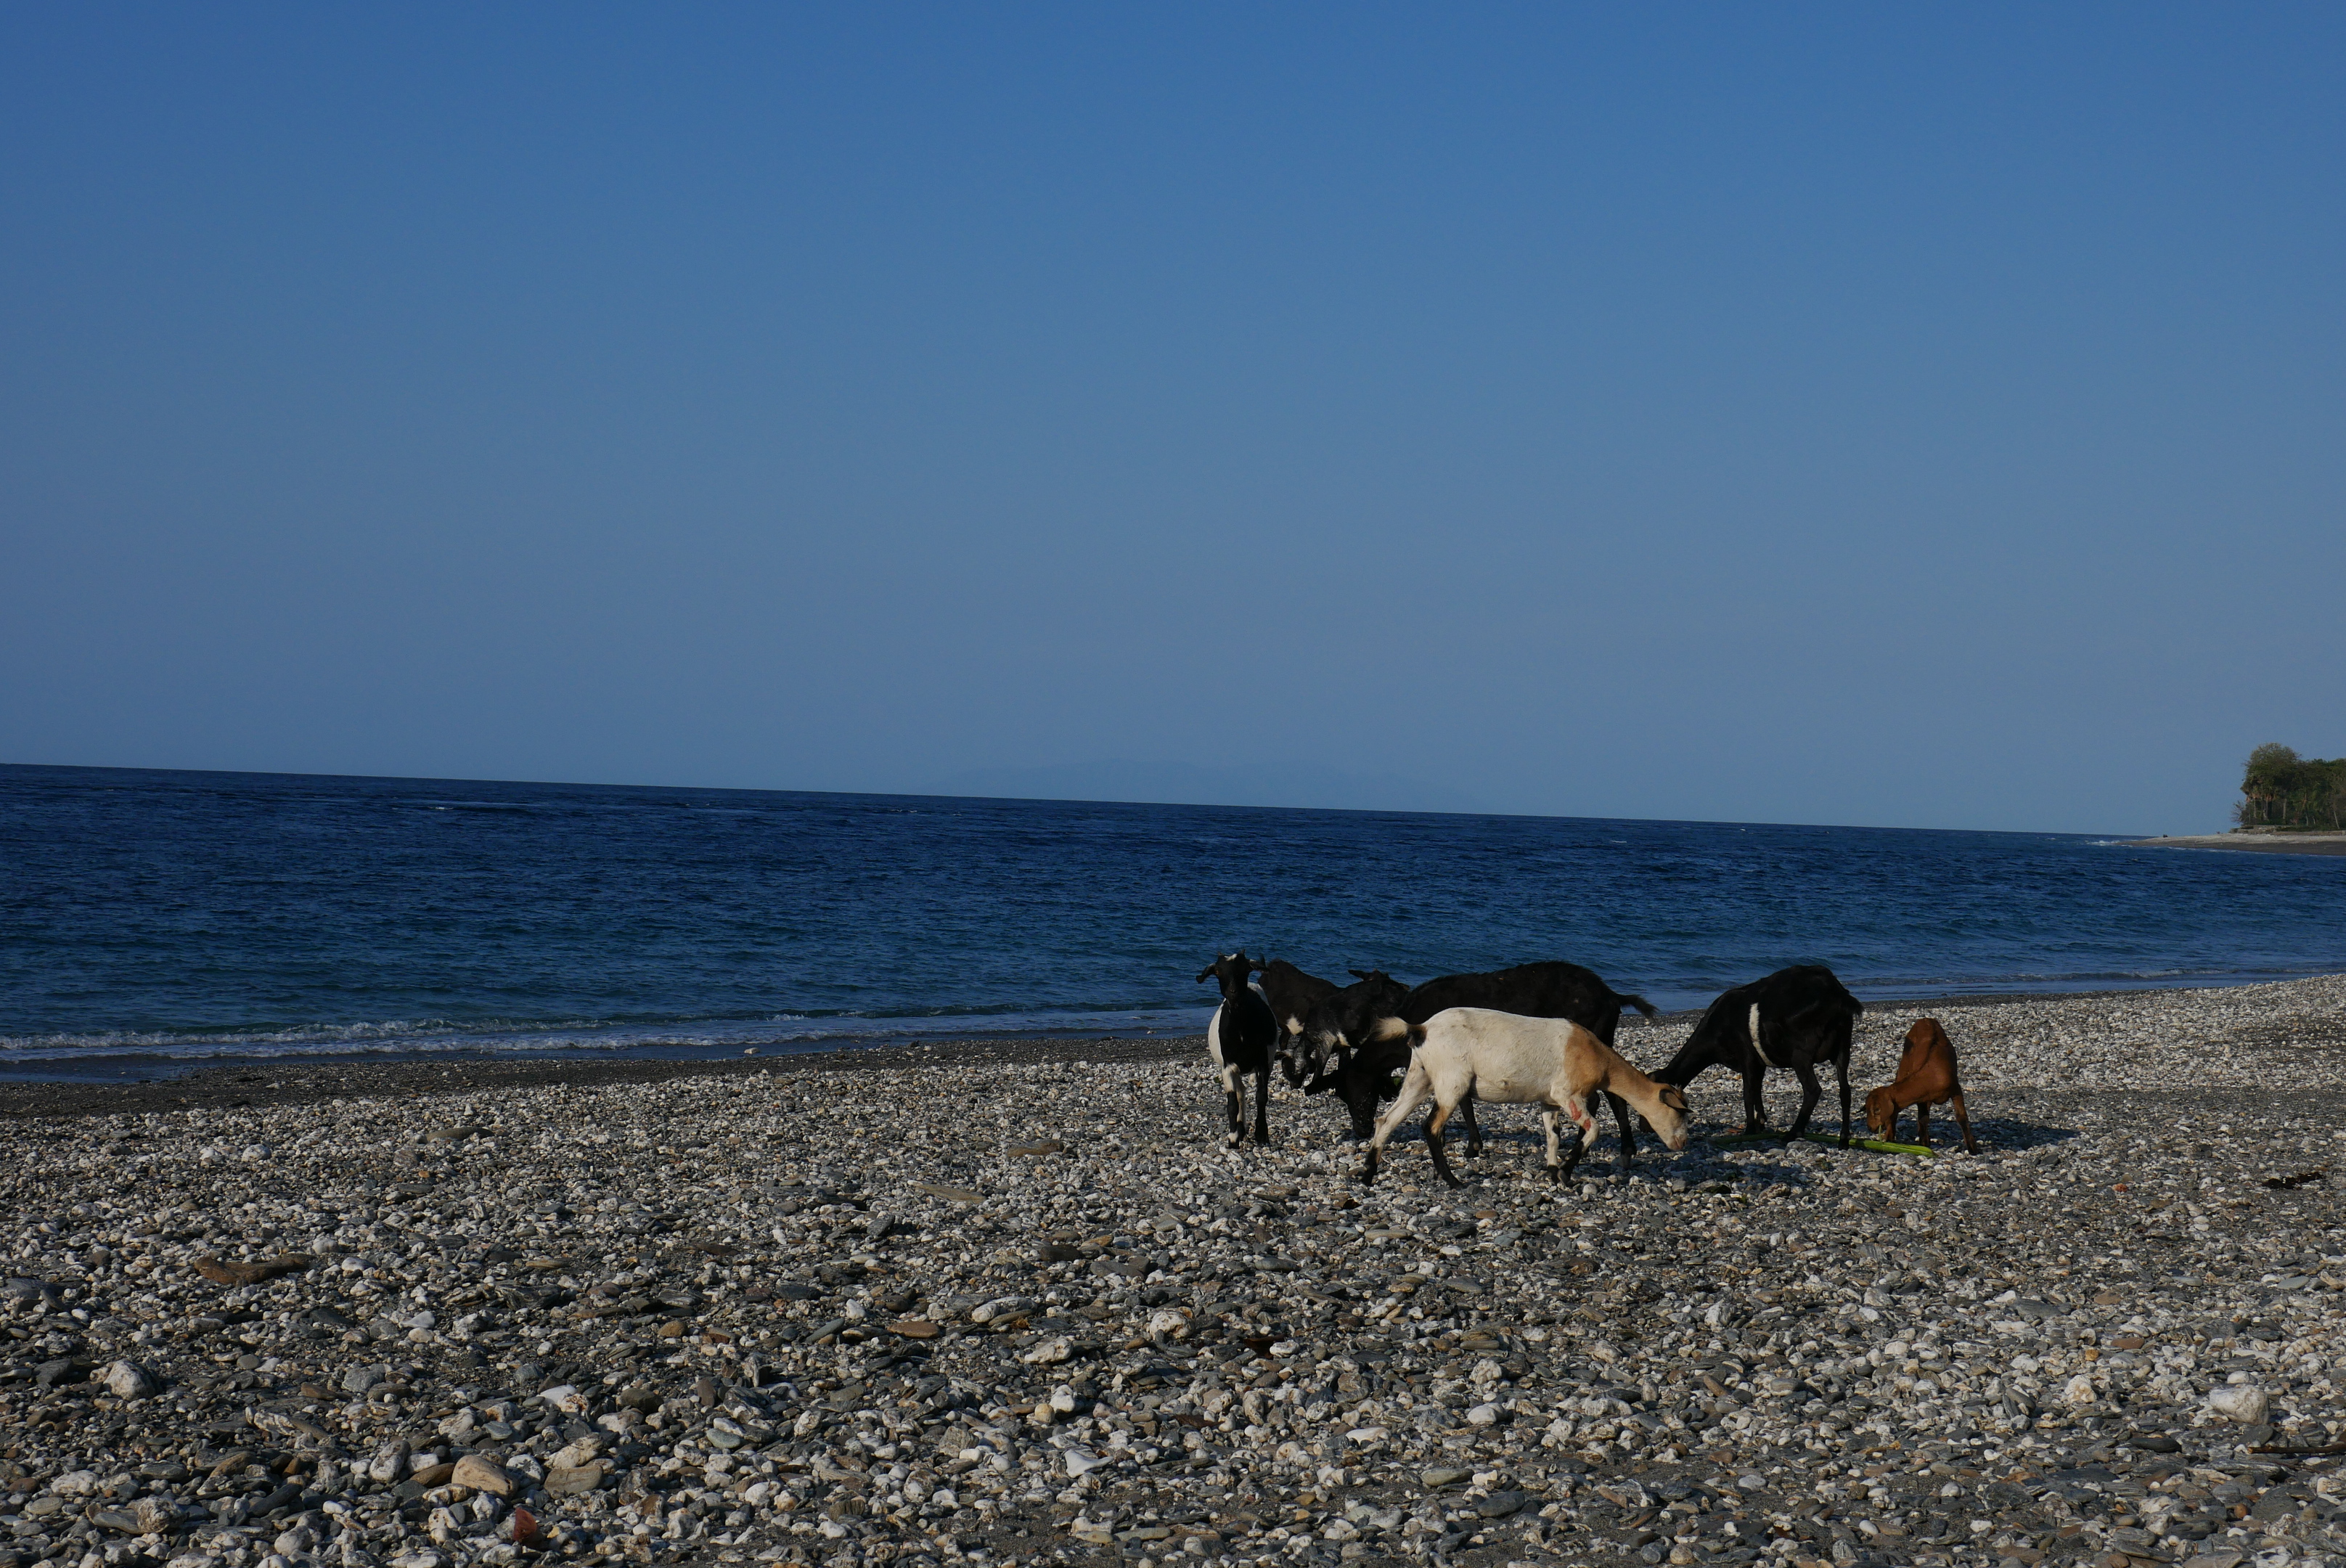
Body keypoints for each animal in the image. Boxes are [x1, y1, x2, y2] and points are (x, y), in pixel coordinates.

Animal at [1198, 951, 1279, 1147]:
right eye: (1218, 971)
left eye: (1245, 969)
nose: (1233, 992)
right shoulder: (1228, 1067)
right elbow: (1232, 1103)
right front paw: (1233, 1137)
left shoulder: (1263, 1062)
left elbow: (1261, 1097)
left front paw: (1262, 1135)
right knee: (1240, 1092)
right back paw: (1240, 1130)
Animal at [1304, 961, 1658, 1169]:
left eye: (1354, 1091)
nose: (1362, 1130)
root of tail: (1612, 996)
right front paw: (1469, 1144)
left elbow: (1464, 1103)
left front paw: (1471, 1146)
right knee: (1613, 1091)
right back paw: (1622, 1149)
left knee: (1606, 1095)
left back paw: (1610, 1148)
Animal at [1360, 1008, 1691, 1187]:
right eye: (1678, 1112)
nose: (1682, 1143)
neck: (1596, 1056)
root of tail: (1422, 1028)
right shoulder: (1567, 1094)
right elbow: (1593, 1129)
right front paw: (1566, 1172)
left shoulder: (1549, 1101)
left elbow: (1553, 1135)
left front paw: (1553, 1171)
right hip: (1452, 1081)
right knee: (1431, 1127)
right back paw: (1453, 1182)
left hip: (1420, 1076)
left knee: (1387, 1120)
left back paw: (1368, 1175)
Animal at [1654, 965, 1863, 1147]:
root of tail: (1836, 993)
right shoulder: (1759, 1062)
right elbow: (1757, 1091)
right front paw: (1761, 1122)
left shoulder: (1747, 1056)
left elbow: (1748, 1094)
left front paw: (1749, 1130)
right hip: (1843, 1048)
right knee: (1845, 1091)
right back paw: (1843, 1140)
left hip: (1801, 1055)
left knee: (1813, 1090)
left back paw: (1792, 1133)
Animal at [1865, 1017, 1978, 1153]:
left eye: (1877, 1109)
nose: (1870, 1127)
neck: (1932, 1073)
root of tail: (1926, 1019)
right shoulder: (1922, 1098)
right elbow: (1923, 1119)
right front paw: (1924, 1145)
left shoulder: (1955, 1089)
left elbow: (1962, 1117)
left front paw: (1973, 1148)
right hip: (1905, 1062)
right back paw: (1890, 1137)